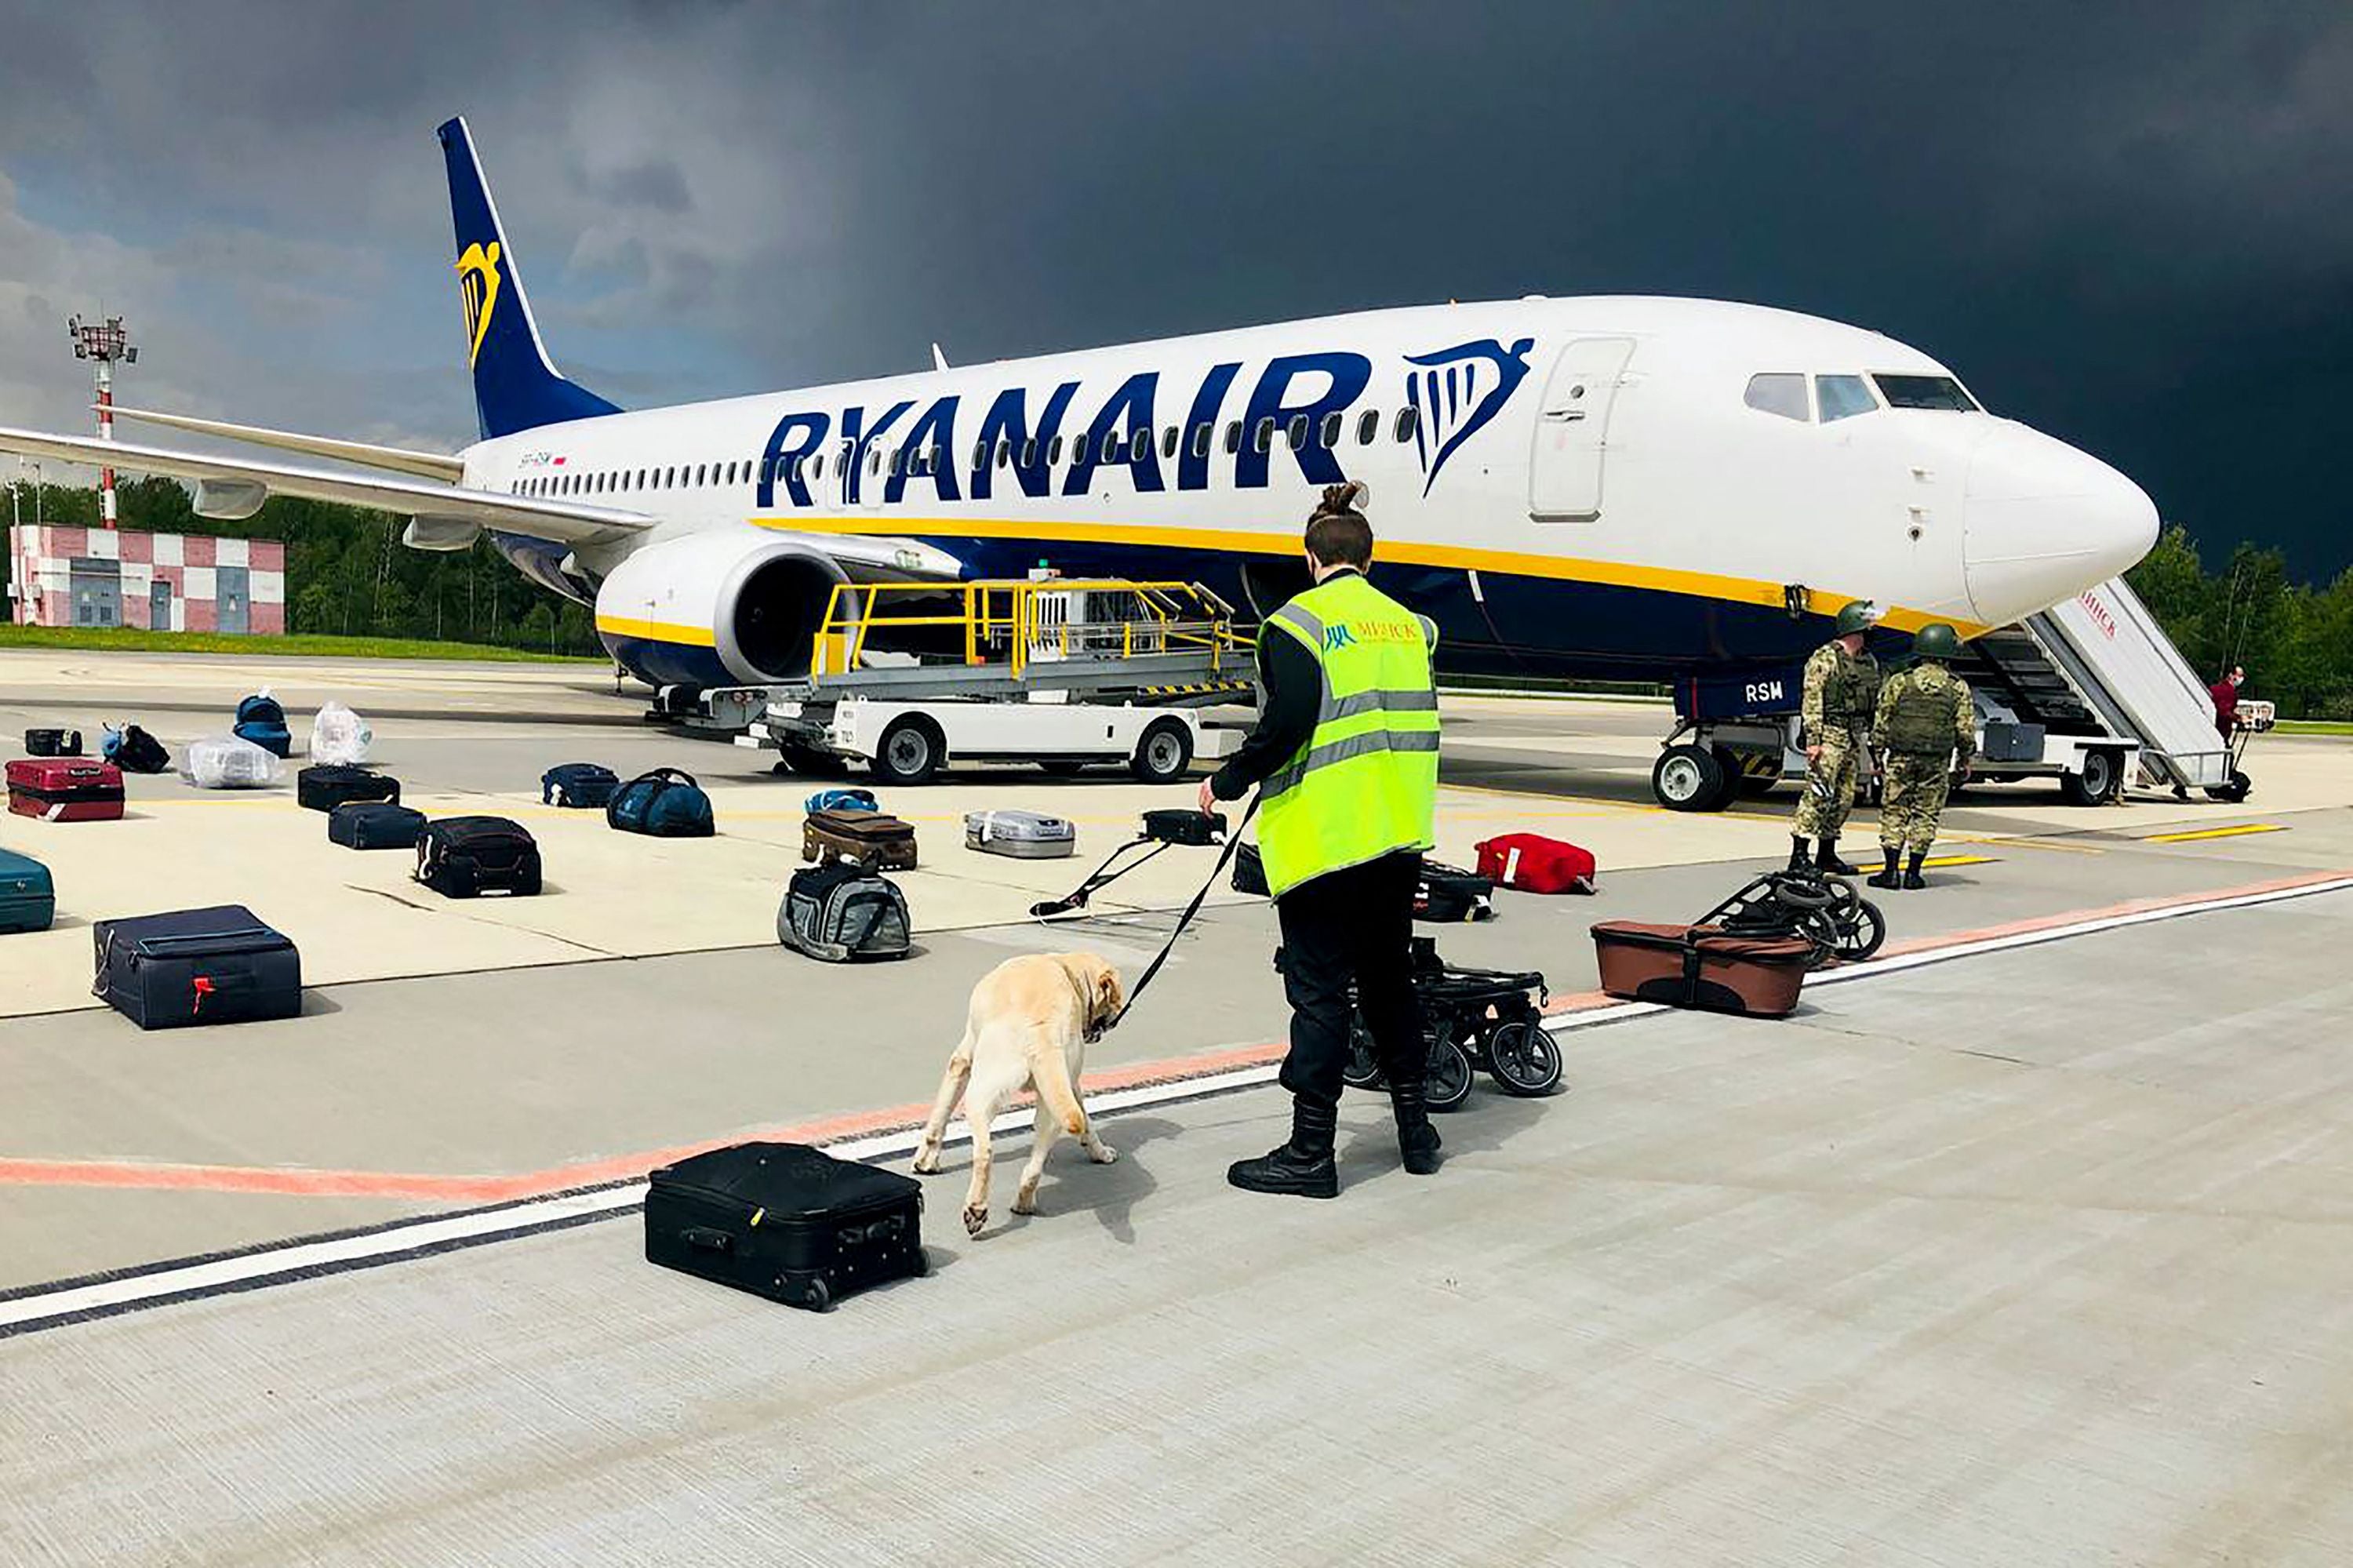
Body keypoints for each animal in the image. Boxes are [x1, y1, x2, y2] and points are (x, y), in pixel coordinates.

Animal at [908, 951, 1120, 1233]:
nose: (1116, 1018)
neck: (1063, 966)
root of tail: (1042, 1028)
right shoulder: (1070, 1085)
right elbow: (1088, 1123)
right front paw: (1101, 1153)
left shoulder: (961, 1062)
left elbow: (938, 1120)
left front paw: (925, 1163)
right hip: (1051, 1113)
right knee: (1034, 1168)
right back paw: (1023, 1204)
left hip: (979, 1095)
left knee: (985, 1153)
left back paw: (976, 1209)